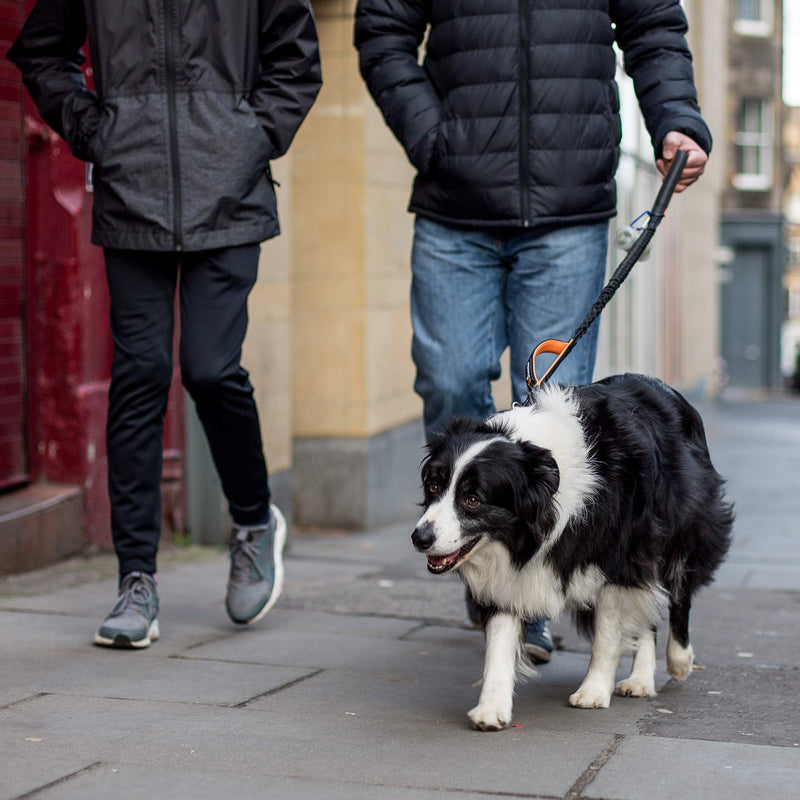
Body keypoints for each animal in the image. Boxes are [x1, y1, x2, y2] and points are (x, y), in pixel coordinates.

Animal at [416, 376, 736, 732]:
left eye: (473, 499)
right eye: (433, 486)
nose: (420, 538)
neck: (545, 476)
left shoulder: (616, 555)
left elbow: (607, 636)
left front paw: (594, 691)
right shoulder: (510, 568)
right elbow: (500, 638)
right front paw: (491, 707)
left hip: (678, 526)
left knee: (678, 590)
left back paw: (678, 660)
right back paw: (640, 680)